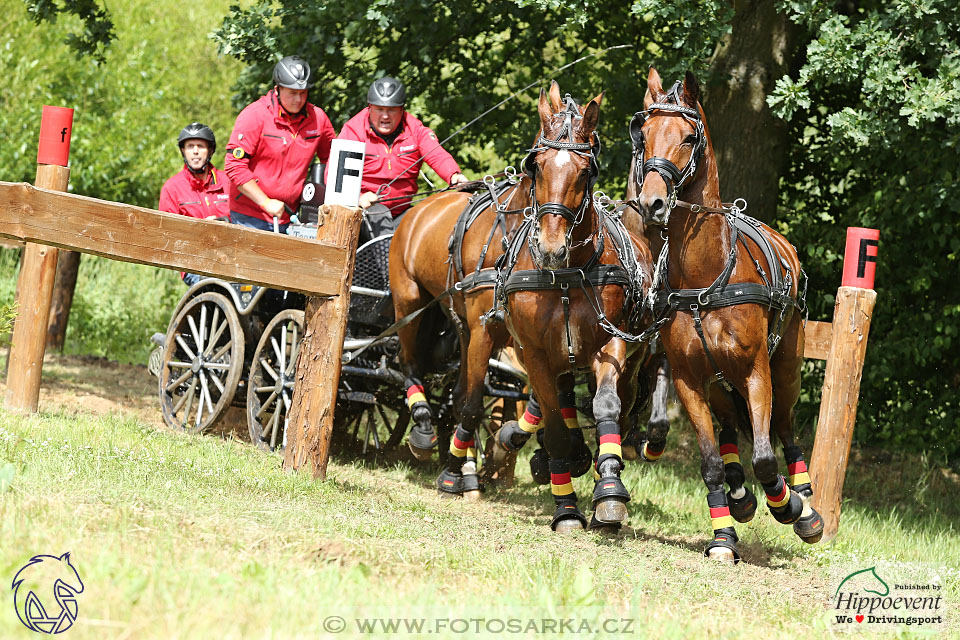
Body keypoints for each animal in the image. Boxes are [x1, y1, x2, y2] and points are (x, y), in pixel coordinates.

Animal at [496, 84, 652, 528]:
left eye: (585, 172)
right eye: (536, 167)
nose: (551, 248)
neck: (566, 275)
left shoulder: (610, 345)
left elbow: (606, 407)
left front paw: (609, 491)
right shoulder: (534, 354)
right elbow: (553, 423)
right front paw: (565, 507)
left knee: (624, 406)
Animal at [632, 67, 824, 564]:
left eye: (687, 137)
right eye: (645, 134)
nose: (652, 203)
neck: (706, 275)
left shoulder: (756, 372)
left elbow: (766, 457)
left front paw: (789, 505)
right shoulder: (689, 380)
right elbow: (711, 462)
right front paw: (723, 535)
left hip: (787, 369)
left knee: (784, 429)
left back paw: (803, 500)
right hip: (719, 383)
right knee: (730, 430)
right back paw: (740, 497)